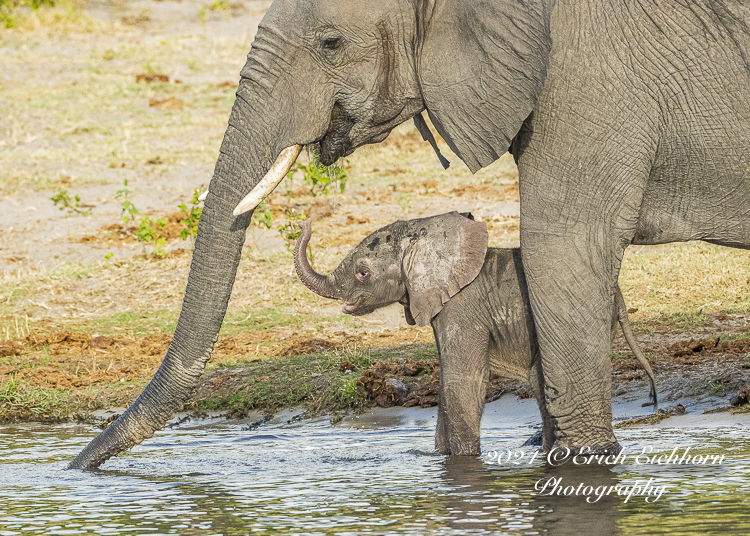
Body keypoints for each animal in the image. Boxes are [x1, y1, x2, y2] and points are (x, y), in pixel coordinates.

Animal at [290, 211, 656, 454]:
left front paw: (464, 463)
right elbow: (446, 382)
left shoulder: (461, 308)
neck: (424, 233)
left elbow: (463, 380)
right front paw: (437, 457)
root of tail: (618, 296)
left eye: (363, 273)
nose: (304, 221)